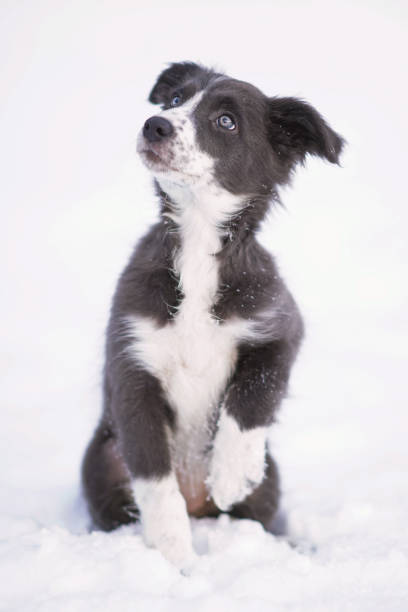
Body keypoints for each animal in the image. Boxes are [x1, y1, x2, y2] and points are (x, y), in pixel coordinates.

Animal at [83, 61, 344, 568]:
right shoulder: (133, 366)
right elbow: (156, 483)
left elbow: (254, 395)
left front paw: (229, 474)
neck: (198, 244)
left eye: (226, 121)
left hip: (270, 480)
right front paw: (176, 560)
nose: (155, 125)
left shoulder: (280, 327)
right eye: (174, 100)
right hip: (100, 466)